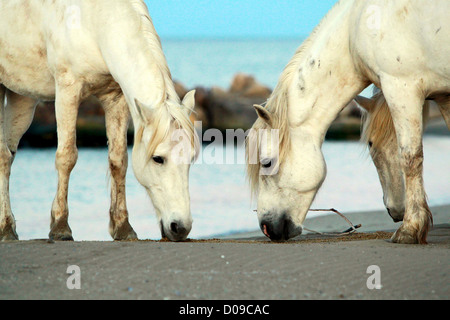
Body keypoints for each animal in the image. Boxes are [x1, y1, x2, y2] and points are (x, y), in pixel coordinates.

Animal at [0, 0, 197, 240]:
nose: (181, 227)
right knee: (3, 155)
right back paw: (6, 228)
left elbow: (118, 160)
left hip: (22, 99)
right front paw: (60, 227)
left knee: (9, 154)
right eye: (158, 158)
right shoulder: (67, 90)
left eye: (191, 158)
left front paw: (123, 227)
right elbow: (66, 157)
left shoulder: (116, 97)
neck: (94, 20)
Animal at [248, 0, 448, 244]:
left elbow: (410, 158)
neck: (356, 25)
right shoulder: (444, 97)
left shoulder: (402, 87)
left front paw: (409, 230)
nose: (266, 228)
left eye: (267, 163)